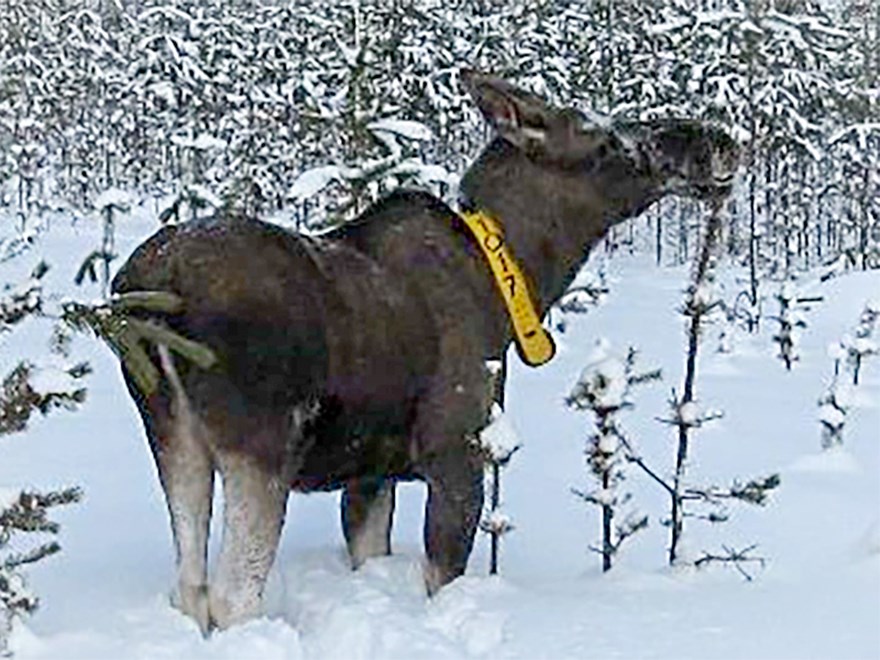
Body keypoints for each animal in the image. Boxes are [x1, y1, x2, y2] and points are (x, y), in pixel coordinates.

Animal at [113, 69, 740, 632]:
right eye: (607, 140)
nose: (720, 140)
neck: (520, 280)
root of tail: (150, 289)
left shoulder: (371, 477)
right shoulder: (456, 455)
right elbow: (443, 575)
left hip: (174, 438)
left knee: (190, 585)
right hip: (263, 447)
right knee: (231, 597)